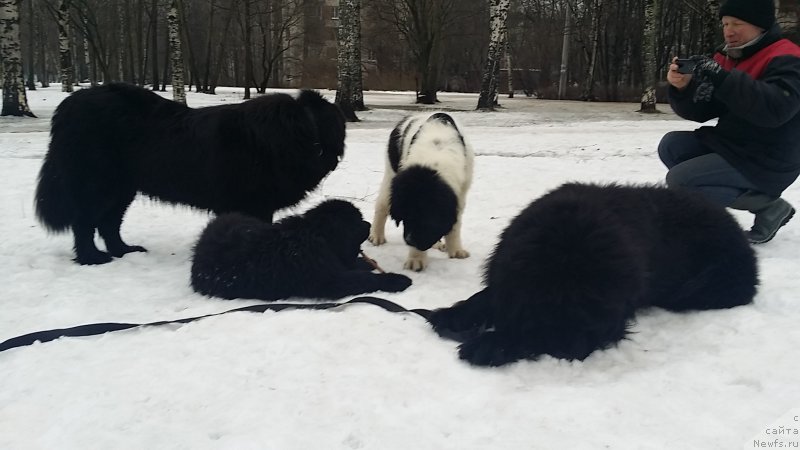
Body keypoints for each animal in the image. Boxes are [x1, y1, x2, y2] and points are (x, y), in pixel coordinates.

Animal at [35, 83, 344, 264]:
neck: (304, 132)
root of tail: (67, 106)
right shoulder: (253, 202)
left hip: (122, 188)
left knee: (109, 223)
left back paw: (123, 250)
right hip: (97, 183)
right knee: (84, 222)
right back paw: (92, 257)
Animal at [190, 200, 410, 302]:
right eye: (356, 221)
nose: (368, 224)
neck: (317, 236)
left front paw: (364, 263)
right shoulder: (326, 280)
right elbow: (363, 279)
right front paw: (397, 280)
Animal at [370, 112, 476, 270]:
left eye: (427, 218)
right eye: (406, 217)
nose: (409, 240)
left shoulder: (460, 192)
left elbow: (453, 225)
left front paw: (456, 250)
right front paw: (416, 259)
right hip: (390, 175)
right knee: (382, 205)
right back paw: (377, 236)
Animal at [428, 183, 760, 366]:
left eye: (588, 306)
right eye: (550, 302)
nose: (571, 348)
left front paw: (491, 344)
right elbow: (486, 296)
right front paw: (453, 315)